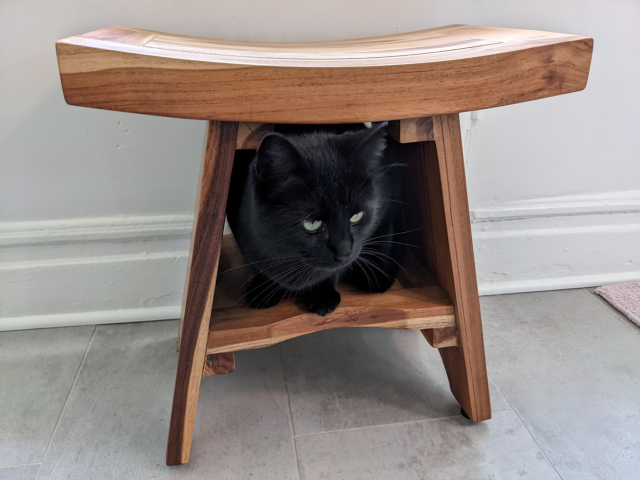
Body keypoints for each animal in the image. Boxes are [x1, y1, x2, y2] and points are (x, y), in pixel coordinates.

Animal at [225, 123, 404, 316]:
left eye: (357, 216)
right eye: (312, 223)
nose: (344, 251)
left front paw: (322, 295)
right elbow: (256, 263)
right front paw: (263, 288)